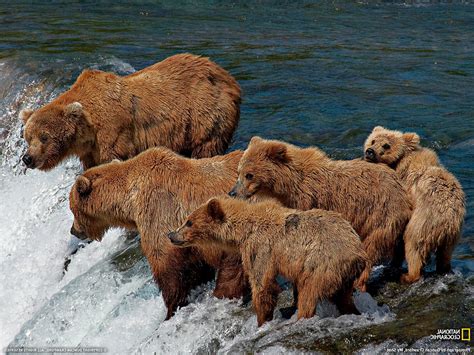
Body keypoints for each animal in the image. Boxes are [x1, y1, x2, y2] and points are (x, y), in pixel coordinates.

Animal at [19, 53, 241, 172]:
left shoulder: (112, 132)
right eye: (27, 137)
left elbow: (116, 157)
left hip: (204, 113)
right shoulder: (90, 150)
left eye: (44, 137)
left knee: (206, 145)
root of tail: (228, 77)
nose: (27, 158)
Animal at [70, 147, 250, 320]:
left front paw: (171, 310)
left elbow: (169, 270)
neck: (131, 201)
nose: (73, 230)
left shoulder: (159, 212)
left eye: (72, 209)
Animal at [168, 199, 368, 326]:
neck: (243, 230)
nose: (171, 234)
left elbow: (262, 284)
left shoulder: (261, 247)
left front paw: (262, 320)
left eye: (189, 222)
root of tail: (359, 253)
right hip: (343, 275)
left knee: (308, 293)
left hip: (322, 264)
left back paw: (301, 317)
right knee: (343, 298)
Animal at [230, 136, 412, 292]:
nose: (232, 192)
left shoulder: (307, 200)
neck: (288, 184)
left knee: (372, 245)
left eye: (249, 175)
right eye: (239, 171)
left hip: (379, 211)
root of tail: (402, 188)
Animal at [364, 126, 464, 286]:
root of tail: (448, 217)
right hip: (453, 235)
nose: (370, 151)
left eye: (386, 145)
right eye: (373, 140)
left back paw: (408, 276)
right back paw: (444, 269)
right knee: (445, 254)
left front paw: (393, 264)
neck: (399, 164)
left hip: (423, 222)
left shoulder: (403, 189)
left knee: (413, 245)